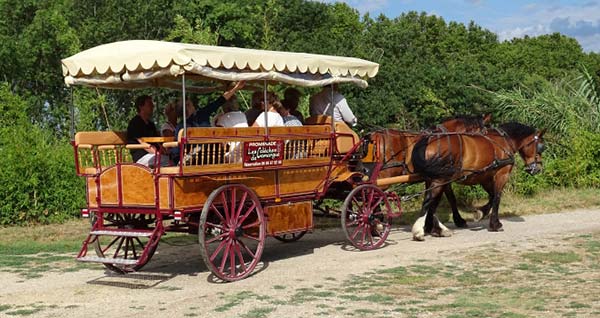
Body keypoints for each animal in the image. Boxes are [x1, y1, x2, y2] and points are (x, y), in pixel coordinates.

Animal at [412, 122, 544, 241]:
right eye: (540, 146)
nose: (537, 169)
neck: (505, 141)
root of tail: (429, 139)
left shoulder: (485, 177)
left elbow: (492, 196)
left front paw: (480, 213)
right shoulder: (502, 174)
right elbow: (497, 197)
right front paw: (495, 224)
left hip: (434, 179)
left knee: (432, 202)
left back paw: (435, 229)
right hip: (440, 179)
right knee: (429, 201)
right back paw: (420, 231)